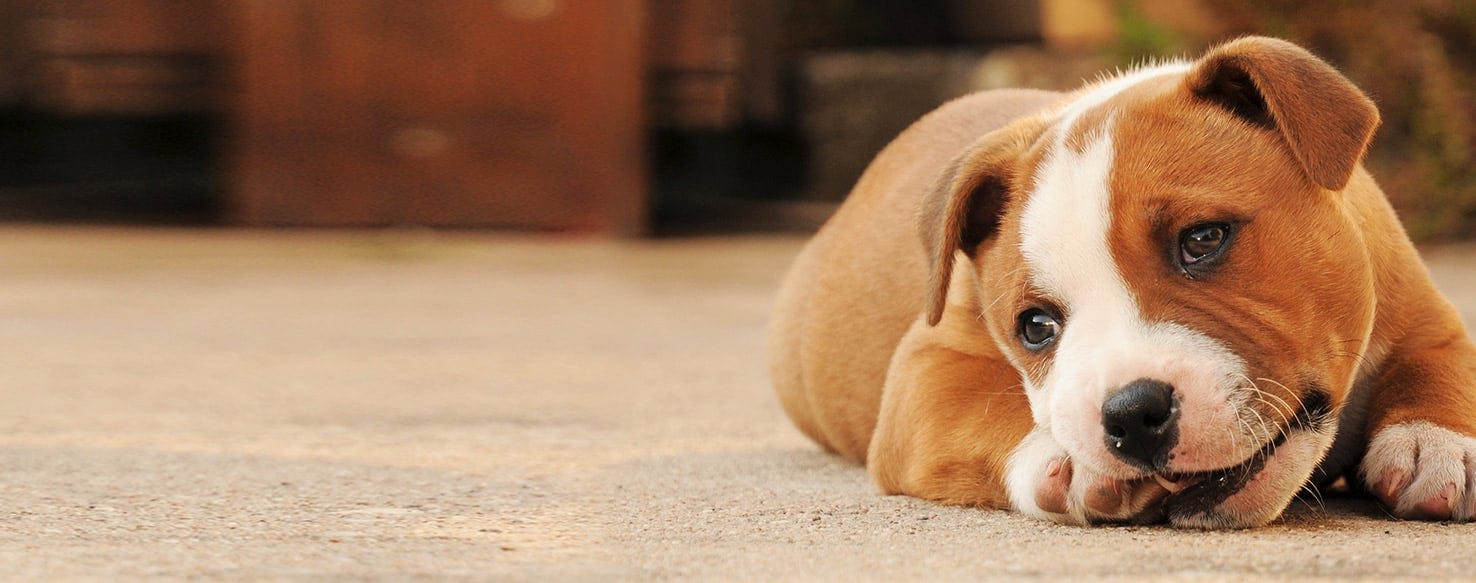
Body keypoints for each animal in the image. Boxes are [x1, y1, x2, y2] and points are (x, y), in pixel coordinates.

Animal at [767, 37, 1476, 528]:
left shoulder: (1427, 316)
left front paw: (1435, 442)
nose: (1132, 415)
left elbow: (1442, 365)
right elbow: (987, 407)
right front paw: (1070, 460)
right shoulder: (925, 372)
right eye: (1036, 327)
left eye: (1203, 239)